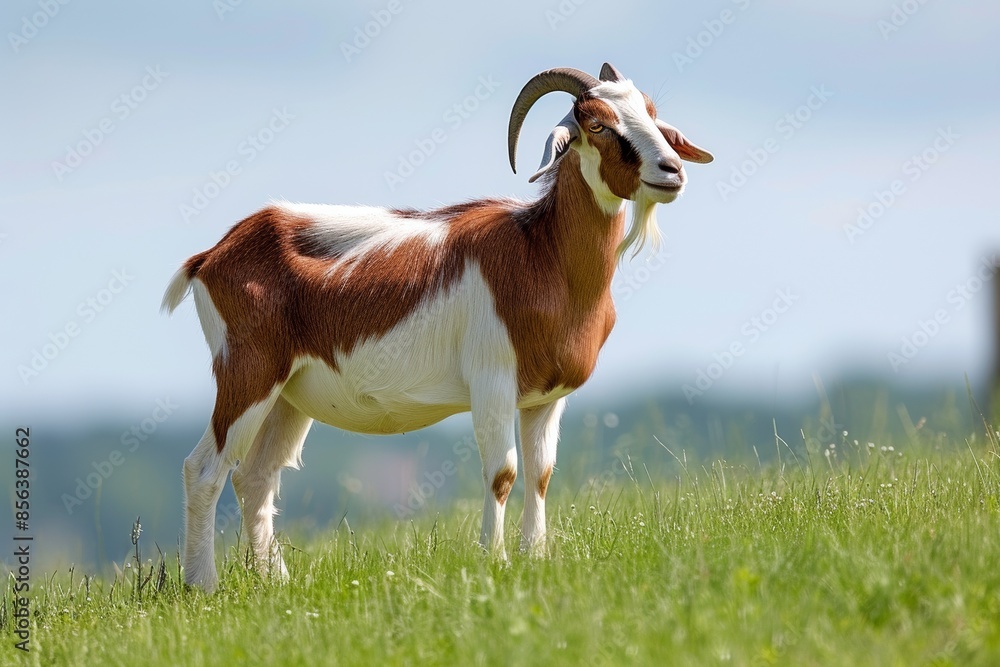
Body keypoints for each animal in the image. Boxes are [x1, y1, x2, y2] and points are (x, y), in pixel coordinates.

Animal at [162, 63, 713, 592]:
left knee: (255, 478)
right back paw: (202, 585)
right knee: (203, 469)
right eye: (596, 123)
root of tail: (213, 254)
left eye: (651, 114)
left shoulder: (545, 398)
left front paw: (536, 557)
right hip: (247, 374)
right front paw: (495, 560)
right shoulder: (492, 381)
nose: (671, 170)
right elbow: (503, 473)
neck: (540, 253)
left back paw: (274, 581)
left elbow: (540, 475)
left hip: (289, 396)